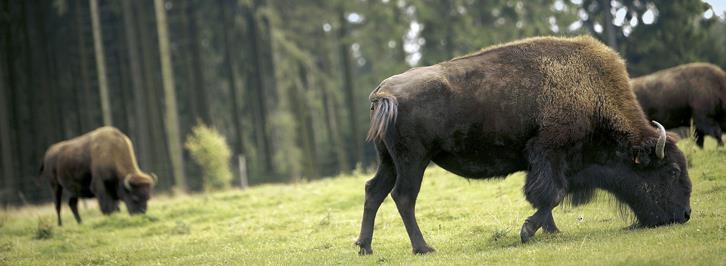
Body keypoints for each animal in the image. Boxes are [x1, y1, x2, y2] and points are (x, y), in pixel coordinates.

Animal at [356, 35, 692, 256]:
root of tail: (384, 92)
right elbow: (551, 194)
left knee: (374, 191)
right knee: (403, 197)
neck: (592, 95)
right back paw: (423, 248)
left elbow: (549, 196)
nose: (686, 214)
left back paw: (365, 247)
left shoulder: (545, 162)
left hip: (389, 160)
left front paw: (552, 231)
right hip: (413, 161)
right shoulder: (550, 153)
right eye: (672, 171)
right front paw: (528, 231)